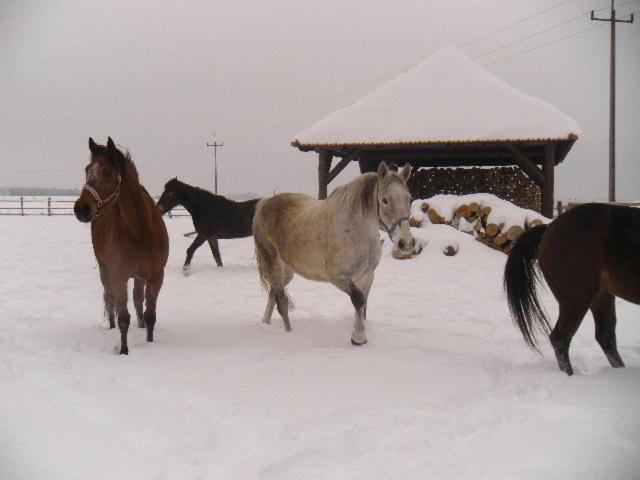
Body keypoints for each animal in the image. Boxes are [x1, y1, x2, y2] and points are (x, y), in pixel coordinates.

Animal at [74, 137, 169, 354]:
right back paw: (111, 326)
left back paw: (140, 325)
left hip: (140, 276)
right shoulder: (119, 276)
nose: (81, 209)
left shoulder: (156, 276)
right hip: (105, 269)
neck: (140, 229)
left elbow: (150, 314)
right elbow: (123, 317)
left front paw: (149, 342)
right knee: (110, 300)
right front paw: (124, 351)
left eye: (108, 171)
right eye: (87, 169)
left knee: (137, 300)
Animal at [252, 161, 412, 344]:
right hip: (274, 263)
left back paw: (266, 323)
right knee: (281, 302)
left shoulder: (367, 276)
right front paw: (358, 337)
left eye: (409, 198)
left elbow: (363, 305)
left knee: (272, 294)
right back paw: (289, 332)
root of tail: (264, 204)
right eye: (385, 200)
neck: (357, 231)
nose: (405, 242)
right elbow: (358, 300)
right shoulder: (338, 277)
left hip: (287, 271)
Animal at [508, 202, 636, 376]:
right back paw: (570, 376)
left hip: (600, 295)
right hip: (576, 298)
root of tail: (549, 227)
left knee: (605, 335)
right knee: (561, 339)